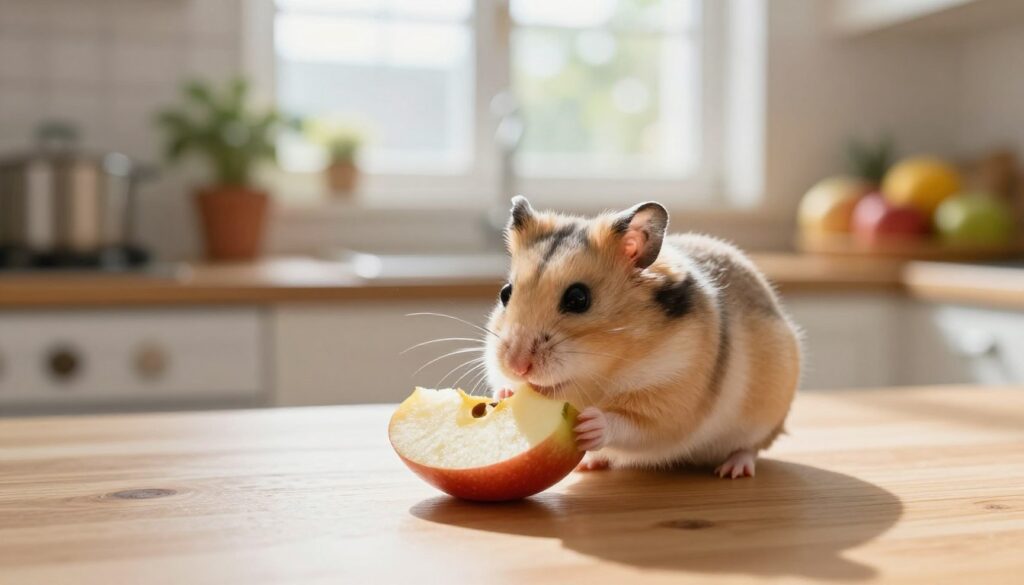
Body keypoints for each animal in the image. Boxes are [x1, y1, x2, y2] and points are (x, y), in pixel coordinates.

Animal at [485, 196, 801, 478]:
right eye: (505, 293)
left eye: (578, 299)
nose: (517, 366)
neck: (603, 372)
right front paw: (505, 394)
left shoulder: (669, 403)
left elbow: (629, 424)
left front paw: (589, 425)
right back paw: (589, 464)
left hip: (765, 418)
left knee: (750, 448)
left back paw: (733, 470)